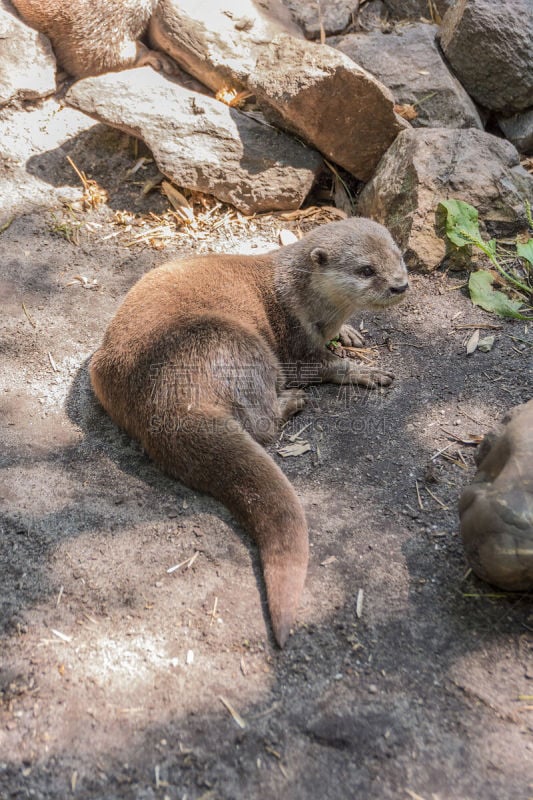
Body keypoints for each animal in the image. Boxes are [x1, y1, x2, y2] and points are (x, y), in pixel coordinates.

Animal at [90, 217, 408, 644]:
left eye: (398, 256)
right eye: (366, 270)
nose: (399, 285)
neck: (300, 299)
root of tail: (166, 395)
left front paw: (351, 334)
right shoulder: (294, 345)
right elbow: (326, 366)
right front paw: (366, 371)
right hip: (244, 345)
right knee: (262, 425)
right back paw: (292, 402)